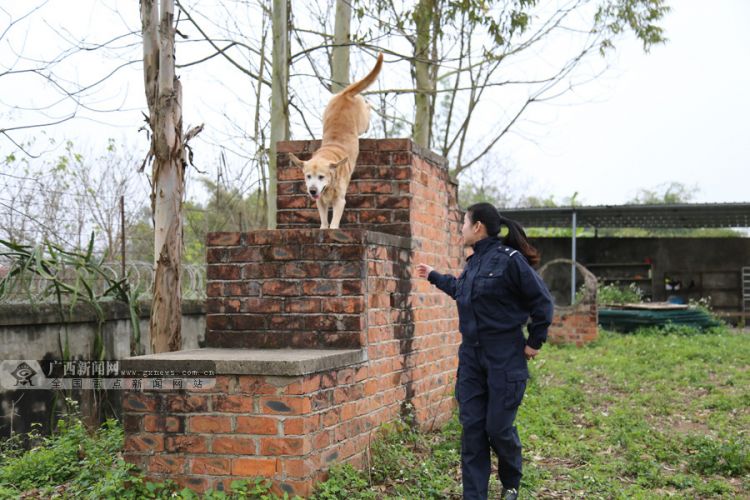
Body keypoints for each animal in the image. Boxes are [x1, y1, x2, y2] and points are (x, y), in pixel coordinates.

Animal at [288, 52, 382, 229]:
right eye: (308, 176)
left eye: (321, 177)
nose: (312, 190)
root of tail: (345, 94)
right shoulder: (320, 202)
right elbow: (324, 221)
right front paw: (323, 227)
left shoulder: (340, 201)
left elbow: (333, 224)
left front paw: (332, 229)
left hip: (362, 122)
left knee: (367, 111)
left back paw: (370, 106)